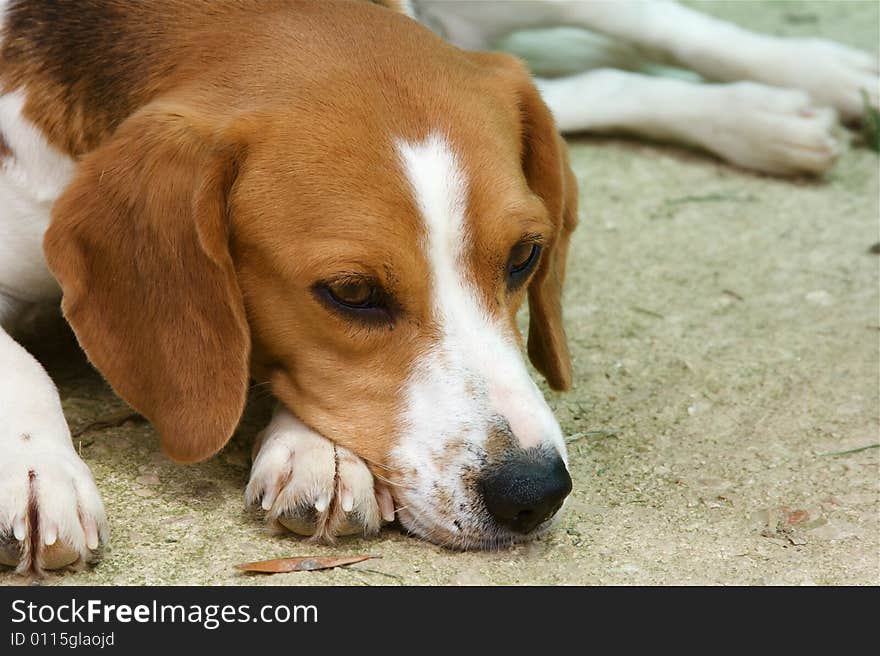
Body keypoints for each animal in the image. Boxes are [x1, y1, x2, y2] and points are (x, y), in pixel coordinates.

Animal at [0, 0, 580, 576]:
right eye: (352, 292)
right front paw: (34, 468)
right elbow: (20, 362)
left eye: (524, 255)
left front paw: (320, 451)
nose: (535, 492)